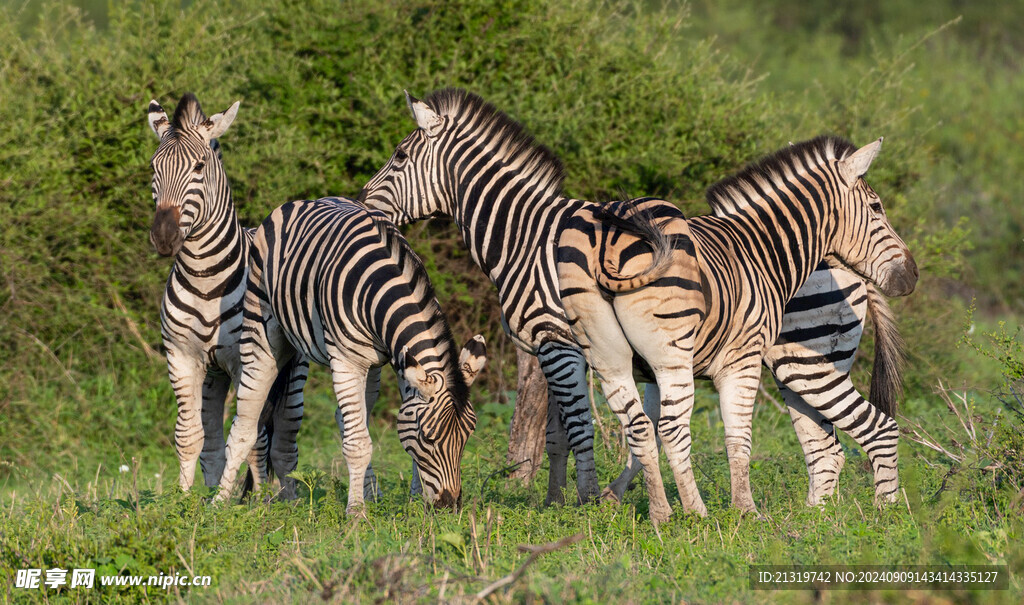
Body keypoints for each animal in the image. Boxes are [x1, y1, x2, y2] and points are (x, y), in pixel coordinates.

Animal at [146, 93, 307, 497]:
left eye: (199, 166)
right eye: (154, 167)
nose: (165, 237)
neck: (205, 279)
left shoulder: (248, 360)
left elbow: (252, 438)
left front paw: (247, 502)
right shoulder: (182, 356)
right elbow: (189, 436)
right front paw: (185, 500)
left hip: (292, 368)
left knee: (281, 439)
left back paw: (285, 499)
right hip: (213, 375)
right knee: (217, 440)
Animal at [212, 197, 487, 511]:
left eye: (467, 436)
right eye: (428, 438)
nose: (449, 505)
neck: (384, 286)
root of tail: (304, 201)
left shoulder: (400, 360)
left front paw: (411, 502)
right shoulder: (347, 360)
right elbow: (358, 444)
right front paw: (356, 512)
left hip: (370, 364)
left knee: (347, 419)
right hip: (262, 327)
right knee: (245, 425)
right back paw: (225, 503)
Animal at [358, 88, 913, 520]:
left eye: (399, 157)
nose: (363, 205)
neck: (527, 236)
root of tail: (847, 269)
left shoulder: (556, 342)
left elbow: (574, 427)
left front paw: (578, 502)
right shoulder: (563, 349)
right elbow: (559, 433)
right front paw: (558, 502)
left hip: (801, 358)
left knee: (856, 432)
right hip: (794, 363)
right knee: (826, 446)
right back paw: (816, 517)